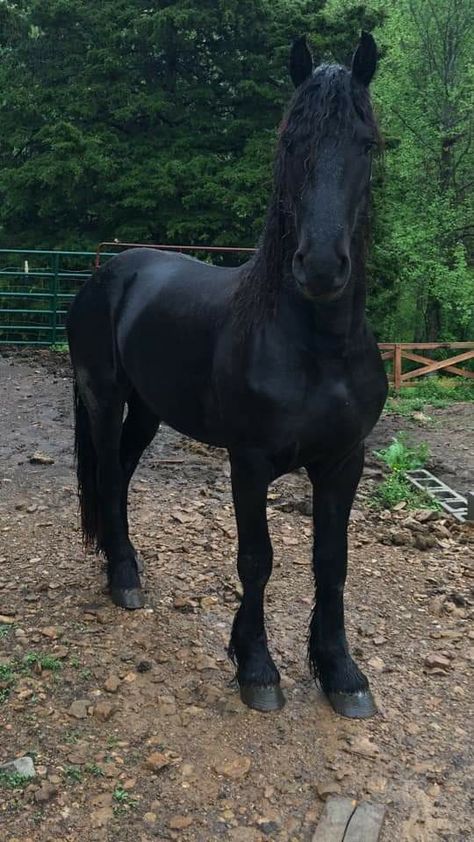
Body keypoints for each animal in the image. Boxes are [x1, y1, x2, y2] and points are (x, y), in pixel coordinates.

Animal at [66, 32, 386, 716]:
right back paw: (123, 579)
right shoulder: (250, 461)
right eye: (290, 141)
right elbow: (257, 558)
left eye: (366, 144)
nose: (321, 266)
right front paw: (257, 667)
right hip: (103, 398)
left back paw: (123, 563)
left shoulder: (344, 461)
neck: (317, 348)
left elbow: (332, 562)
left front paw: (341, 673)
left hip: (148, 410)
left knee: (121, 475)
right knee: (105, 473)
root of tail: (108, 273)